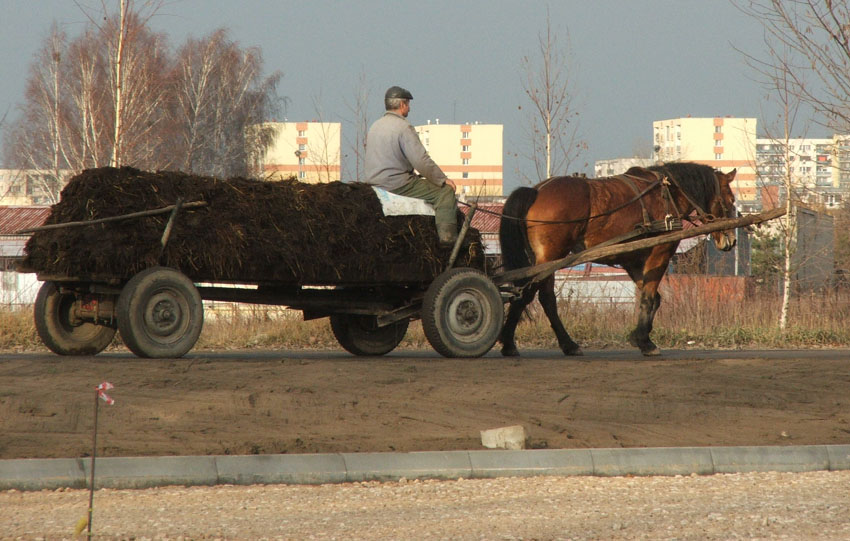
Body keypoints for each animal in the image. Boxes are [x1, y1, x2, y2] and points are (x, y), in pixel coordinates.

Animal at [496, 162, 736, 356]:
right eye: (731, 200)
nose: (731, 240)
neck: (667, 194)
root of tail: (537, 190)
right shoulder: (660, 253)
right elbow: (649, 297)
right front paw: (645, 341)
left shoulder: (632, 261)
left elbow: (654, 298)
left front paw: (639, 335)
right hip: (551, 255)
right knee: (529, 293)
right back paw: (510, 342)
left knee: (544, 298)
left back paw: (566, 344)